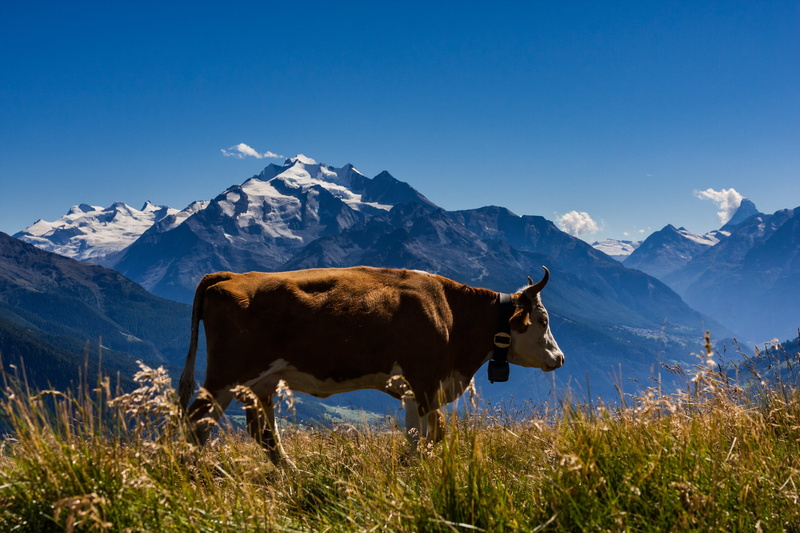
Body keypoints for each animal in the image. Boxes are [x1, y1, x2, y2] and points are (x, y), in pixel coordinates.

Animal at [178, 266, 564, 466]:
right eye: (543, 320)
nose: (560, 358)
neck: (451, 313)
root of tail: (232, 276)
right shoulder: (422, 382)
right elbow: (424, 434)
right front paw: (416, 468)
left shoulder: (417, 389)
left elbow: (429, 432)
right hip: (227, 375)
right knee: (196, 422)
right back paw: (188, 472)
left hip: (262, 383)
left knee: (263, 432)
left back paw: (291, 471)